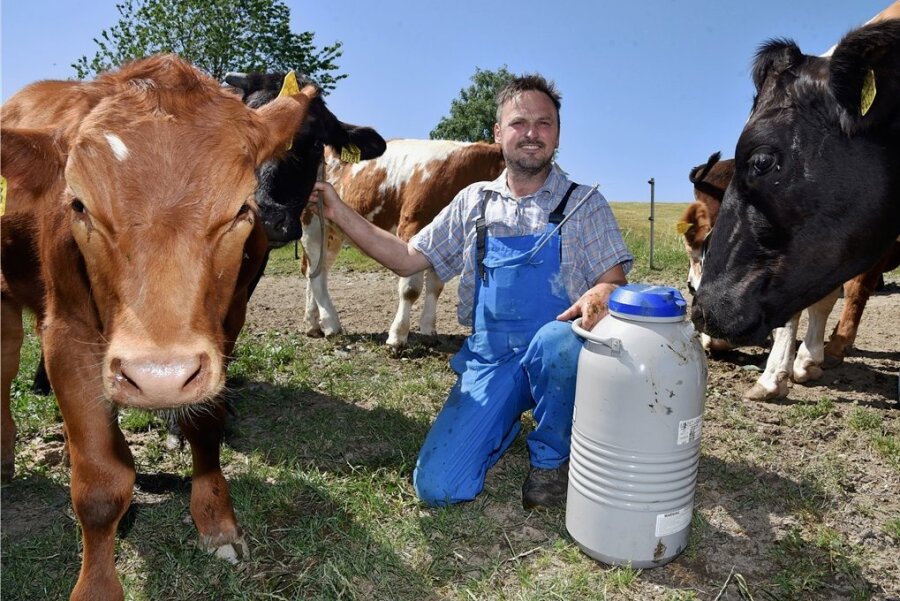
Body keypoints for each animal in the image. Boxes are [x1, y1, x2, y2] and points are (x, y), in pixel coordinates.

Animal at [0, 54, 316, 596]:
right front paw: (96, 587)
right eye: (79, 205)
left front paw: (216, 521)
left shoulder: (223, 329)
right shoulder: (67, 333)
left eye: (242, 209)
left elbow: (206, 424)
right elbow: (101, 482)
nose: (158, 377)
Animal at [298, 138, 502, 346]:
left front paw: (428, 331)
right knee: (316, 275)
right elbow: (410, 290)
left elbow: (435, 288)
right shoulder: (412, 227)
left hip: (332, 234)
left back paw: (313, 323)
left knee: (315, 269)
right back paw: (331, 324)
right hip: (311, 225)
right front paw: (397, 336)